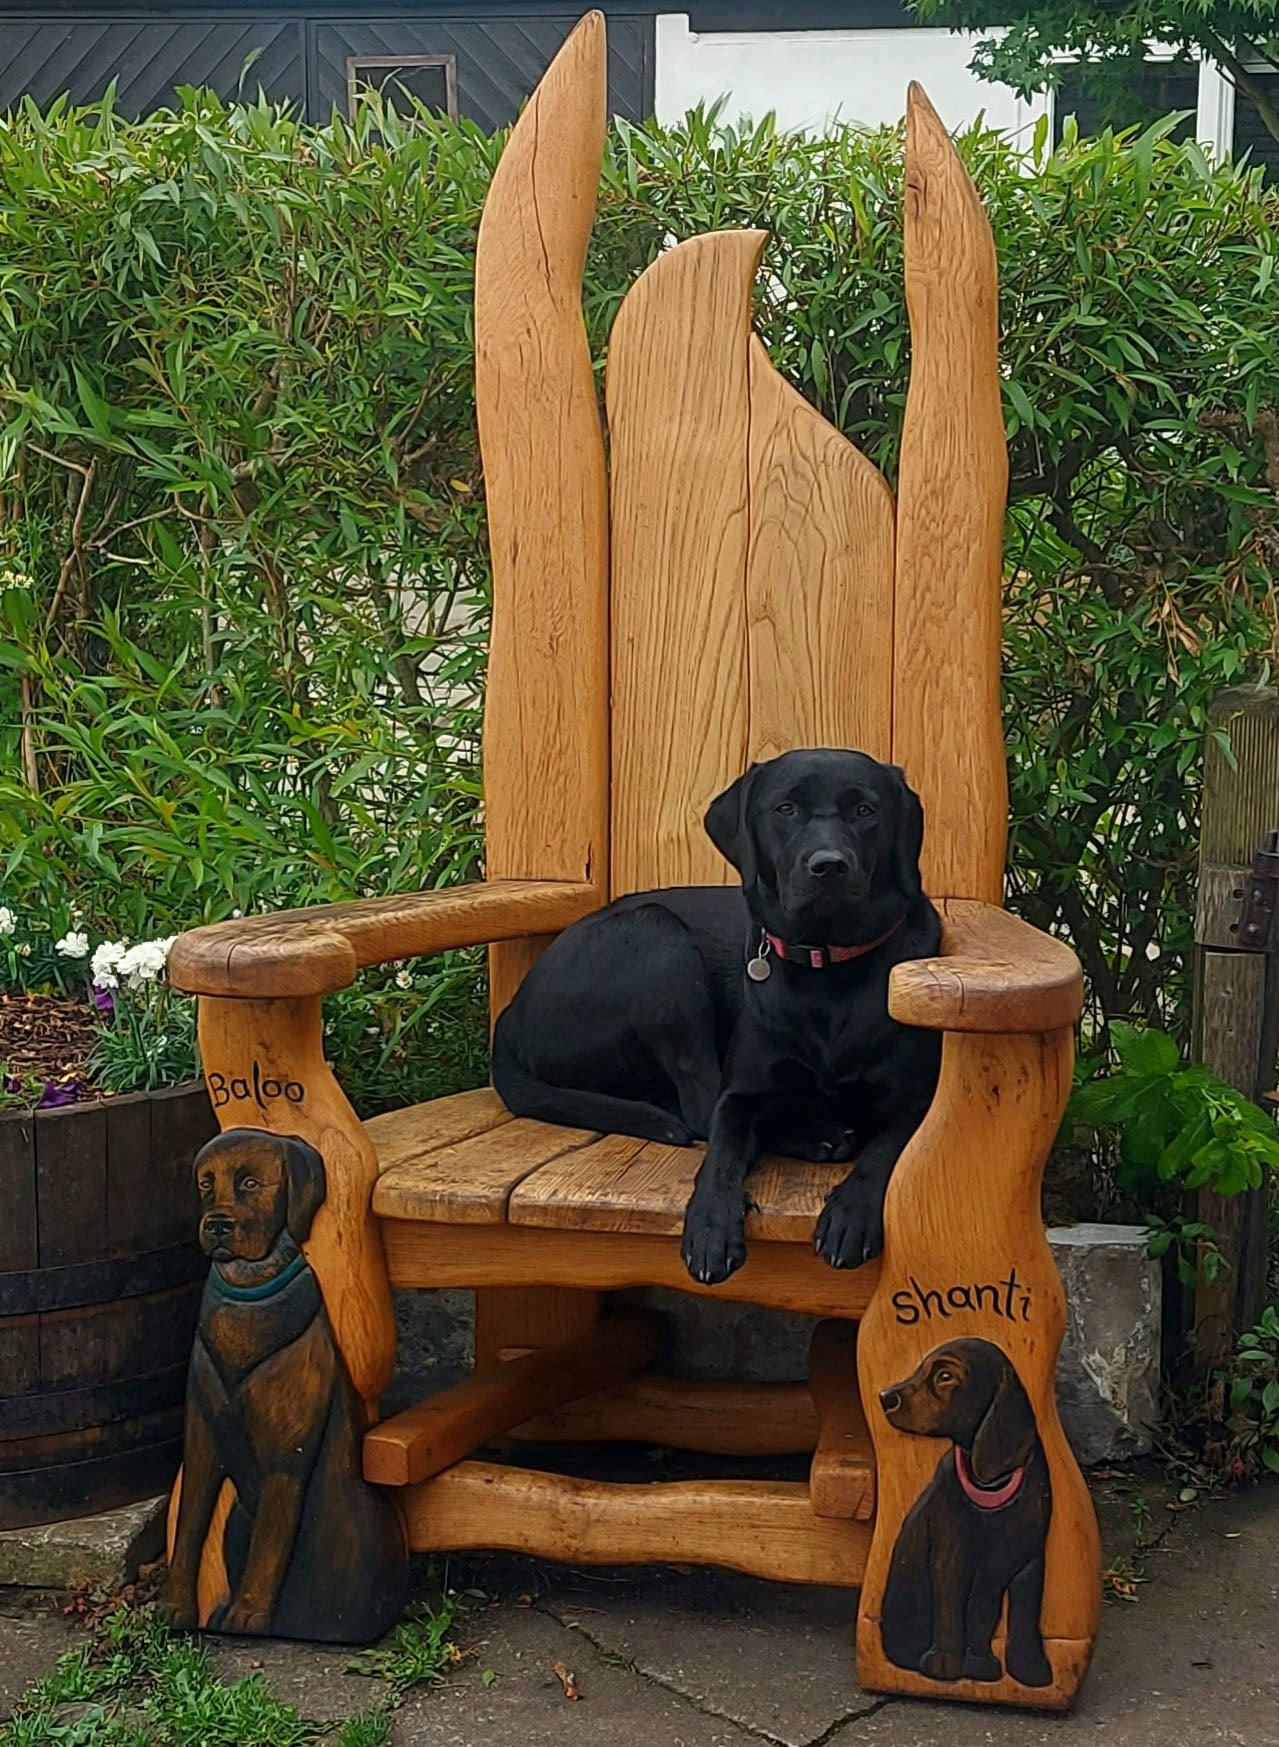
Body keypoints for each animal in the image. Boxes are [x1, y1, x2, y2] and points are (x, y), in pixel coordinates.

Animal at [489, 747, 936, 1285]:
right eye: (785, 809)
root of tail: (509, 1016)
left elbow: (885, 1152)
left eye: (865, 811)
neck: (826, 971)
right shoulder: (737, 1093)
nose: (828, 866)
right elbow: (722, 1146)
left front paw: (851, 1214)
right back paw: (815, 1133)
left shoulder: (915, 1101)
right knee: (697, 1106)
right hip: (659, 943)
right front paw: (710, 1225)